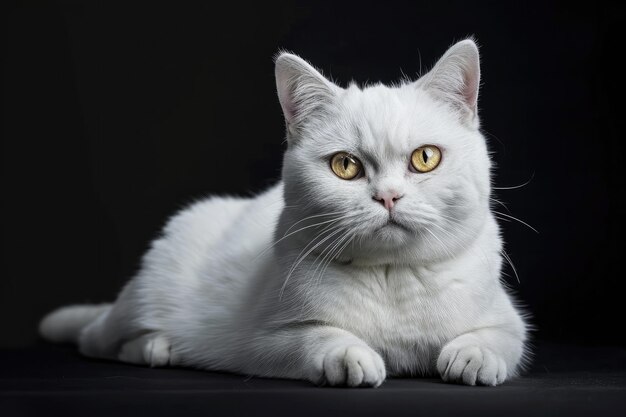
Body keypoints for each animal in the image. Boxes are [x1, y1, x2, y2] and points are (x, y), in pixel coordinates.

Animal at [40, 39, 528, 386]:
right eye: (345, 166)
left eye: (425, 158)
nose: (388, 196)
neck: (392, 277)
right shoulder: (263, 341)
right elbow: (317, 337)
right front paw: (353, 356)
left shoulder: (509, 319)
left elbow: (502, 338)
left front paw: (472, 356)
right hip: (136, 304)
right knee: (96, 340)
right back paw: (158, 347)